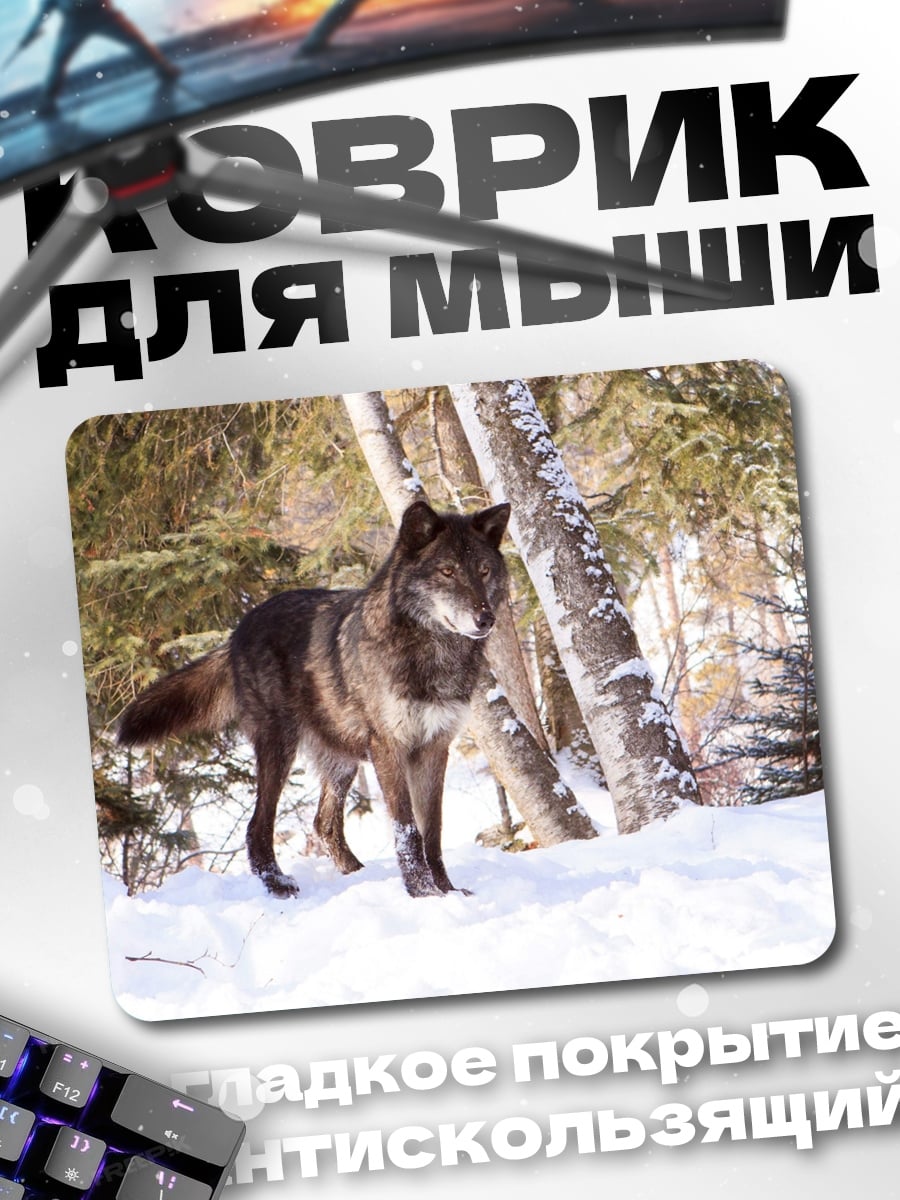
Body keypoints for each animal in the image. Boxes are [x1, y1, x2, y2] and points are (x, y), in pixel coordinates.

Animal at [117, 500, 511, 899]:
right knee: (258, 826)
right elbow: (407, 829)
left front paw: (447, 890)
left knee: (324, 823)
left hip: (341, 760)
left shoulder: (435, 747)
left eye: (483, 570)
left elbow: (433, 830)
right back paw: (278, 884)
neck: (434, 653)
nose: (486, 619)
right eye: (447, 571)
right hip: (280, 747)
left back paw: (357, 876)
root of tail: (238, 629)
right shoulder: (389, 746)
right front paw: (423, 893)